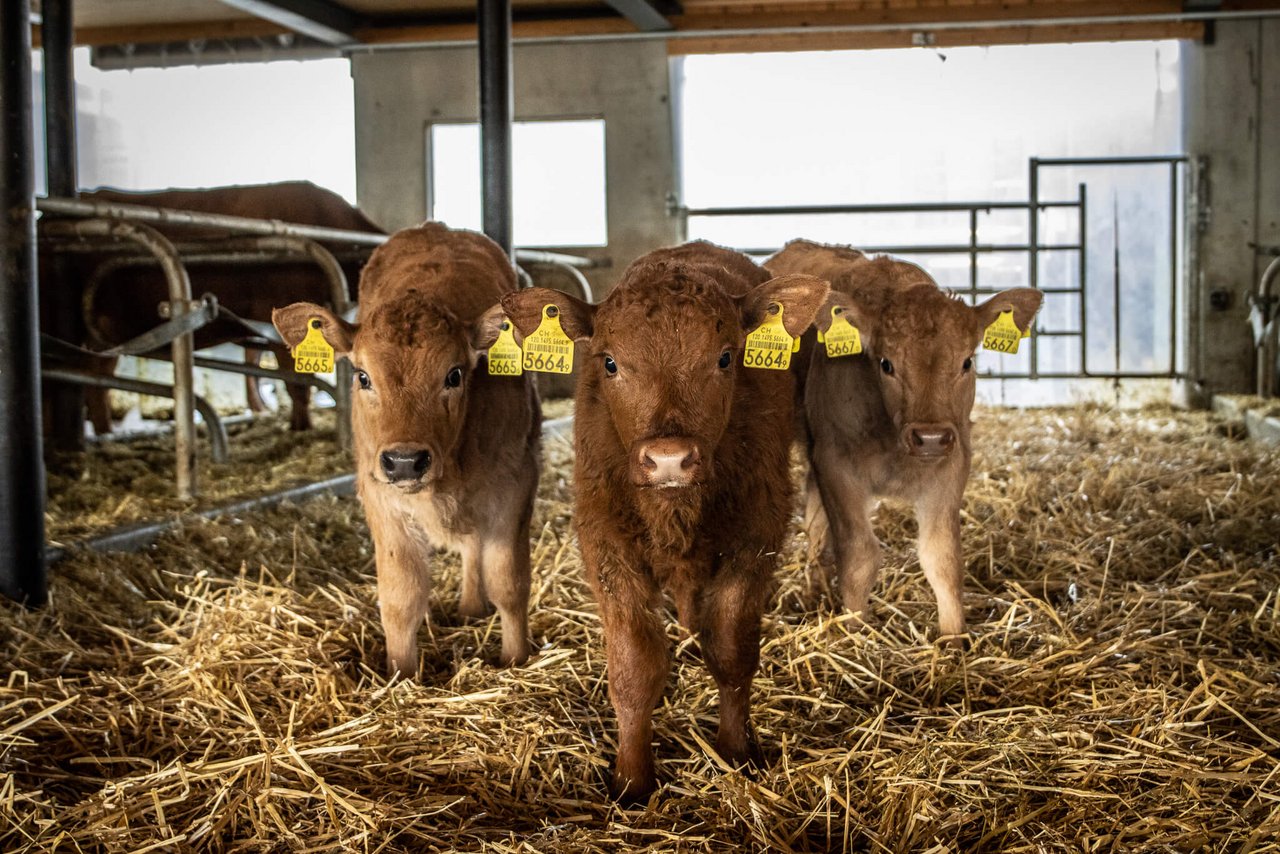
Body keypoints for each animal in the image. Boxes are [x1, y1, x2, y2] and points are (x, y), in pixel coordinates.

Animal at [275, 224, 540, 676]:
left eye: (453, 375)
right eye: (363, 376)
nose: (404, 462)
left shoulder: (516, 483)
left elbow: (509, 582)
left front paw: (515, 659)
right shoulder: (380, 496)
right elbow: (401, 598)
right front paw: (401, 673)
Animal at [757, 239, 1039, 640]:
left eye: (967, 362)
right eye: (886, 364)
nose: (930, 437)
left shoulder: (952, 464)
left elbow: (942, 558)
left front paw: (954, 641)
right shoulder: (836, 464)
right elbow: (859, 555)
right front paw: (856, 631)